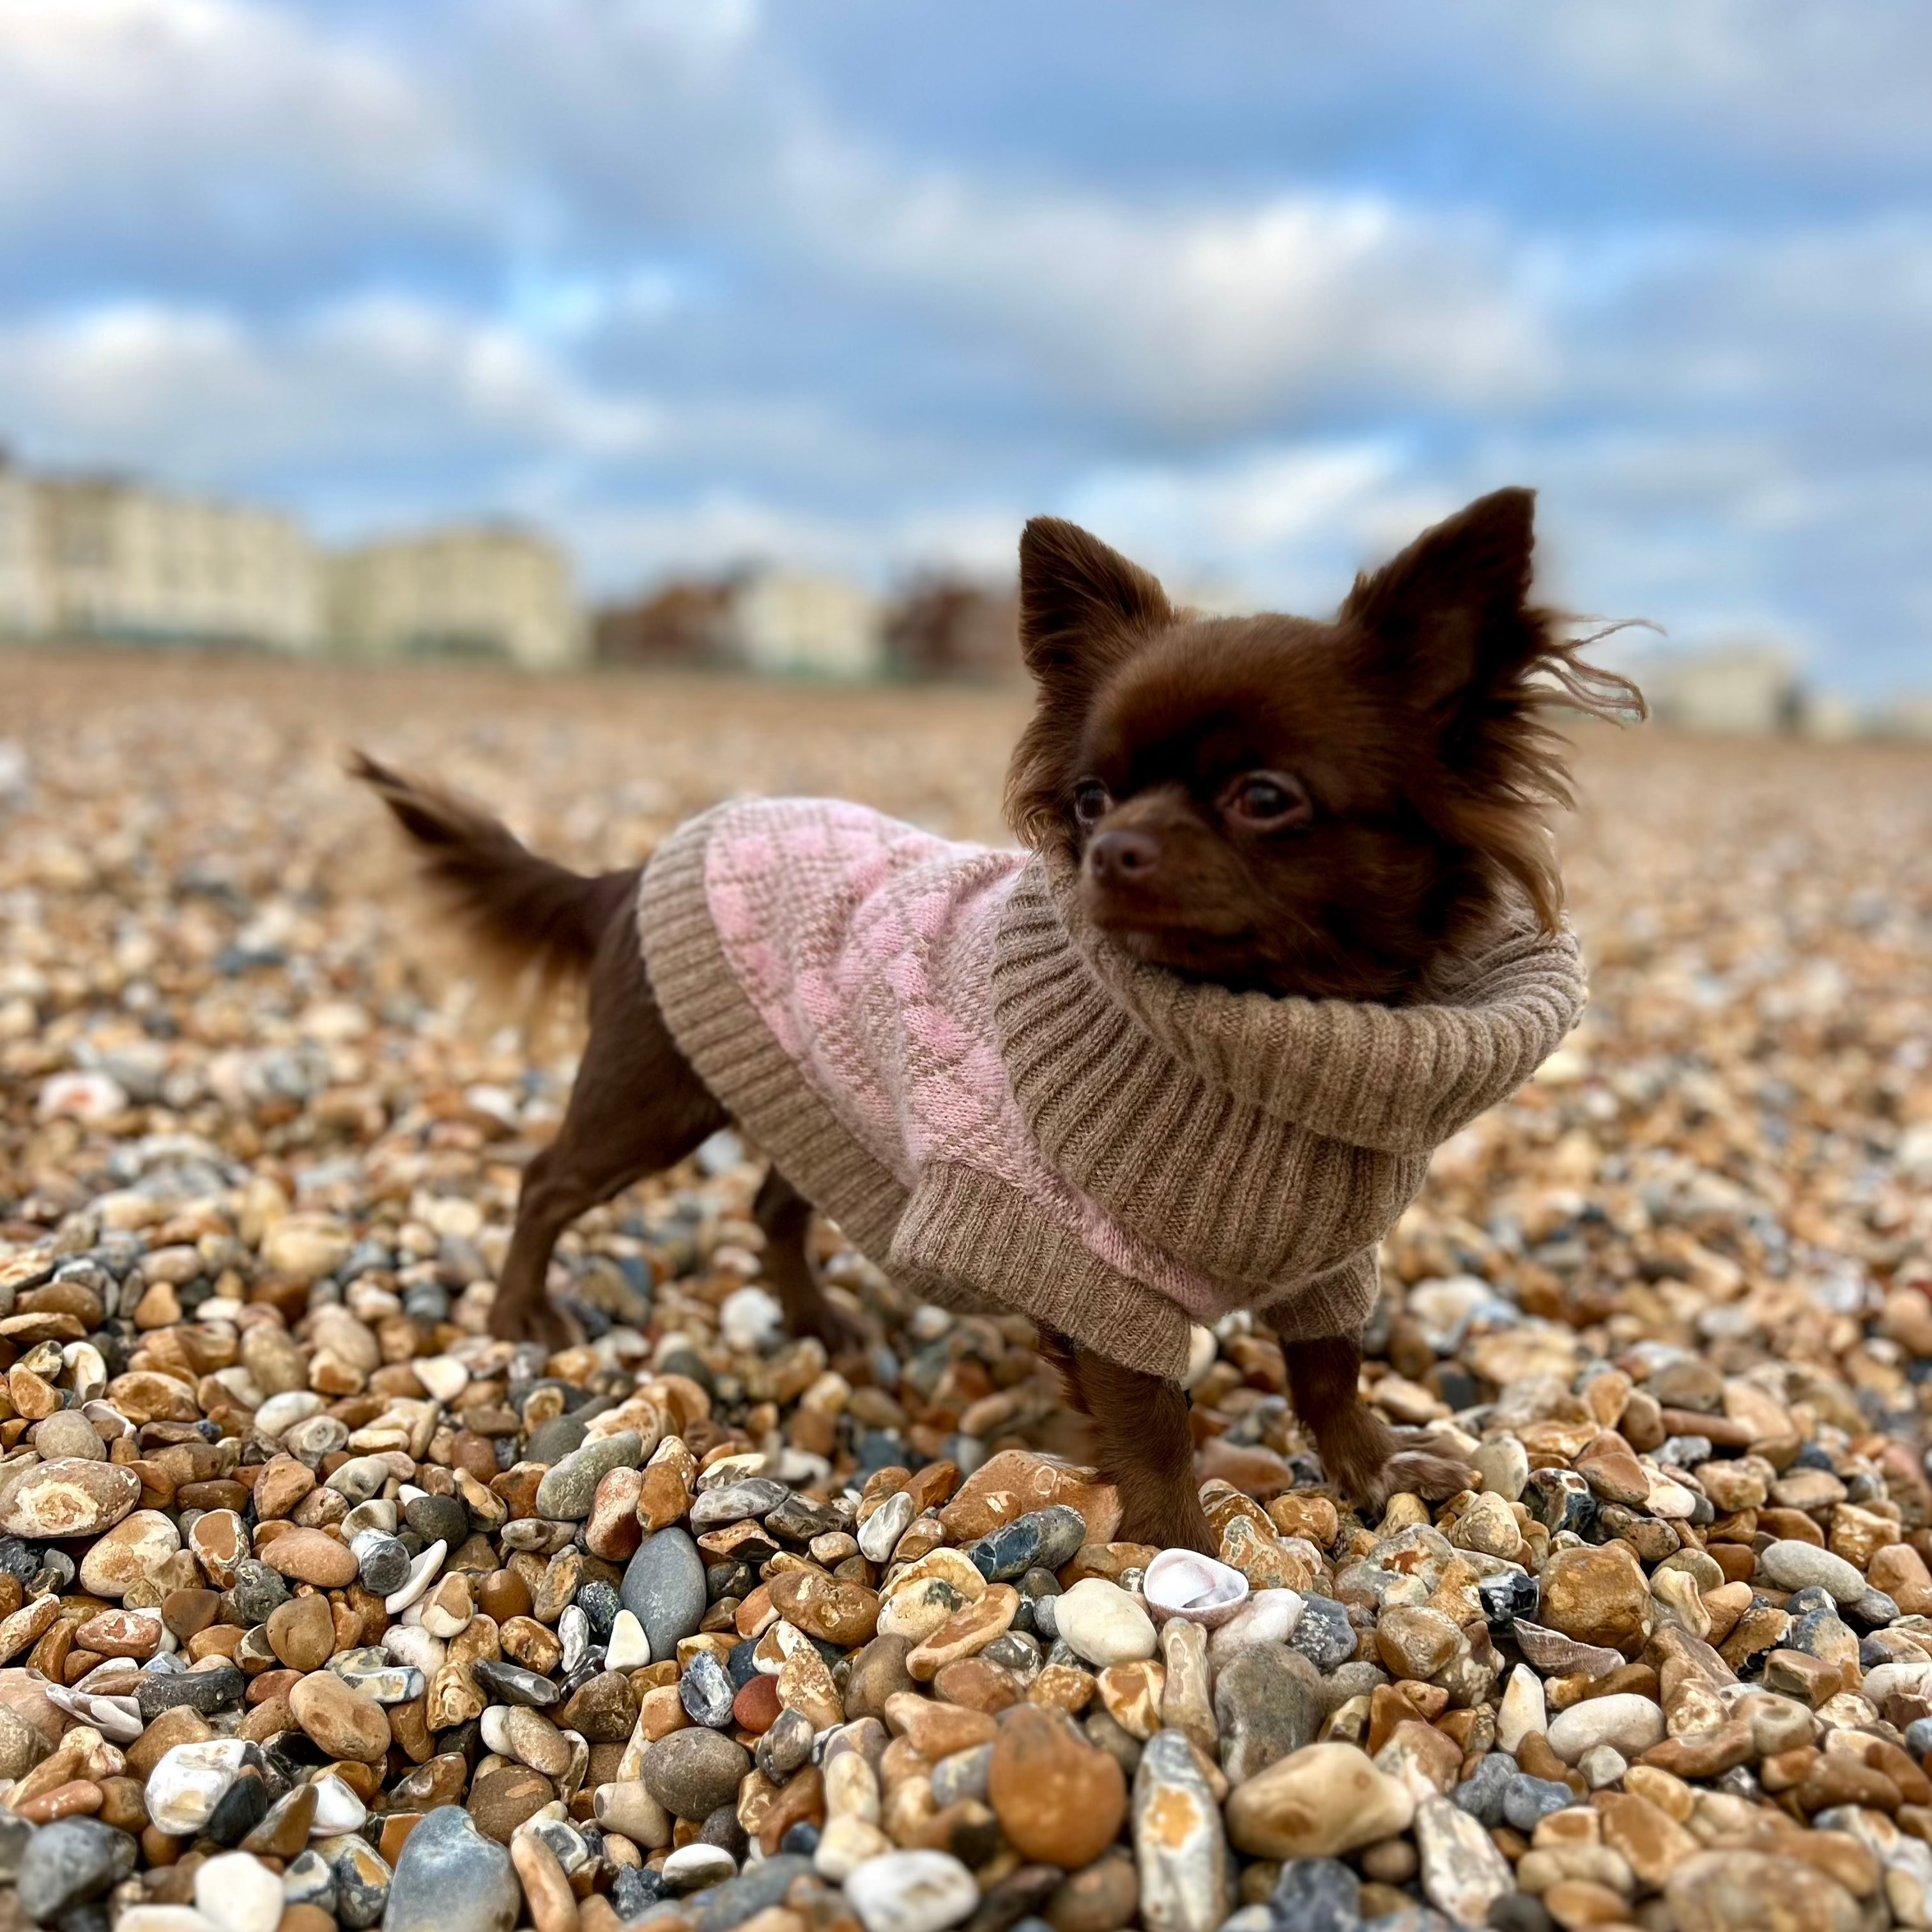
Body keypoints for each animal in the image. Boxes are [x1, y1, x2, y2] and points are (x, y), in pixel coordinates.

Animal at [355, 487, 1638, 1553]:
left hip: (823, 1101)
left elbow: (1329, 1368)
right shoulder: (1089, 1274)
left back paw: (818, 1322)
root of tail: (627, 873)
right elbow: (1153, 1420)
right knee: (546, 1182)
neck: (1271, 1041)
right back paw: (518, 1316)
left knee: (774, 1206)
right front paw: (1182, 1552)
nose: (1112, 848)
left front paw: (1372, 1470)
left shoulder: (1328, 1260)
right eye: (1091, 797)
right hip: (652, 1095)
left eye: (1263, 798)